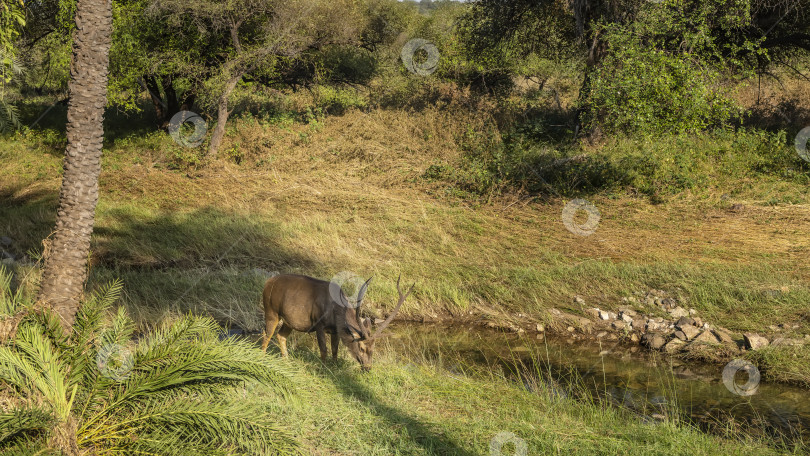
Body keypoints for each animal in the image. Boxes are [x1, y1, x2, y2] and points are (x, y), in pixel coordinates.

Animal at [260, 272, 414, 368]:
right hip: (271, 310)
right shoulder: (319, 323)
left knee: (281, 335)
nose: (368, 367)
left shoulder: (335, 330)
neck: (336, 313)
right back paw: (262, 356)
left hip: (289, 321)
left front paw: (334, 367)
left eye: (373, 348)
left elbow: (335, 349)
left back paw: (286, 360)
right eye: (361, 347)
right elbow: (324, 349)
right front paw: (323, 368)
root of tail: (267, 282)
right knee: (267, 334)